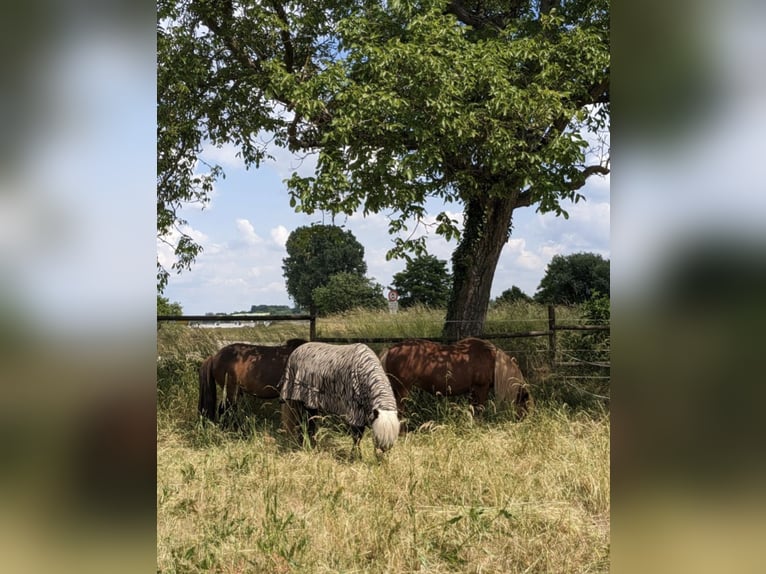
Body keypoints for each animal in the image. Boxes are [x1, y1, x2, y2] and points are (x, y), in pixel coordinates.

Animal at [379, 337, 533, 419]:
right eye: (525, 404)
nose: (525, 422)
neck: (491, 360)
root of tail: (390, 350)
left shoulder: (473, 391)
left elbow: (473, 410)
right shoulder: (481, 389)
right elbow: (480, 410)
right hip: (402, 390)